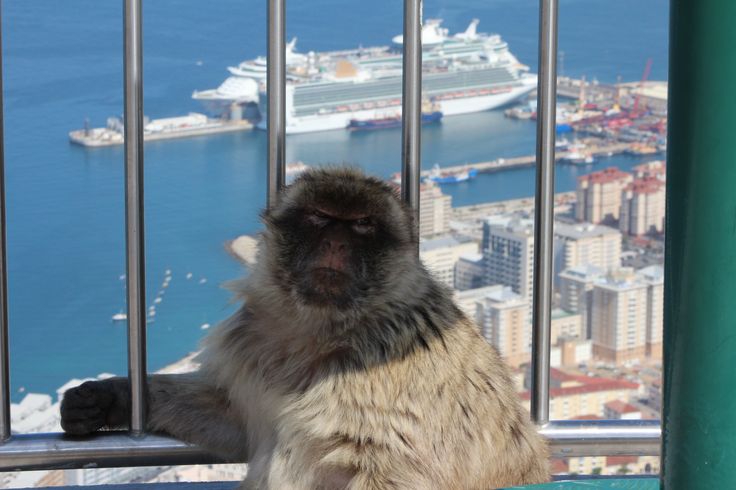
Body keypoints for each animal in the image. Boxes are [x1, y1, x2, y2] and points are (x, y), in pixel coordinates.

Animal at [60, 167, 548, 488]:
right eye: (318, 217)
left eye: (363, 225)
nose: (335, 241)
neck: (321, 329)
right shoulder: (252, 343)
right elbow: (234, 422)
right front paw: (111, 398)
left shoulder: (395, 369)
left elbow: (403, 472)